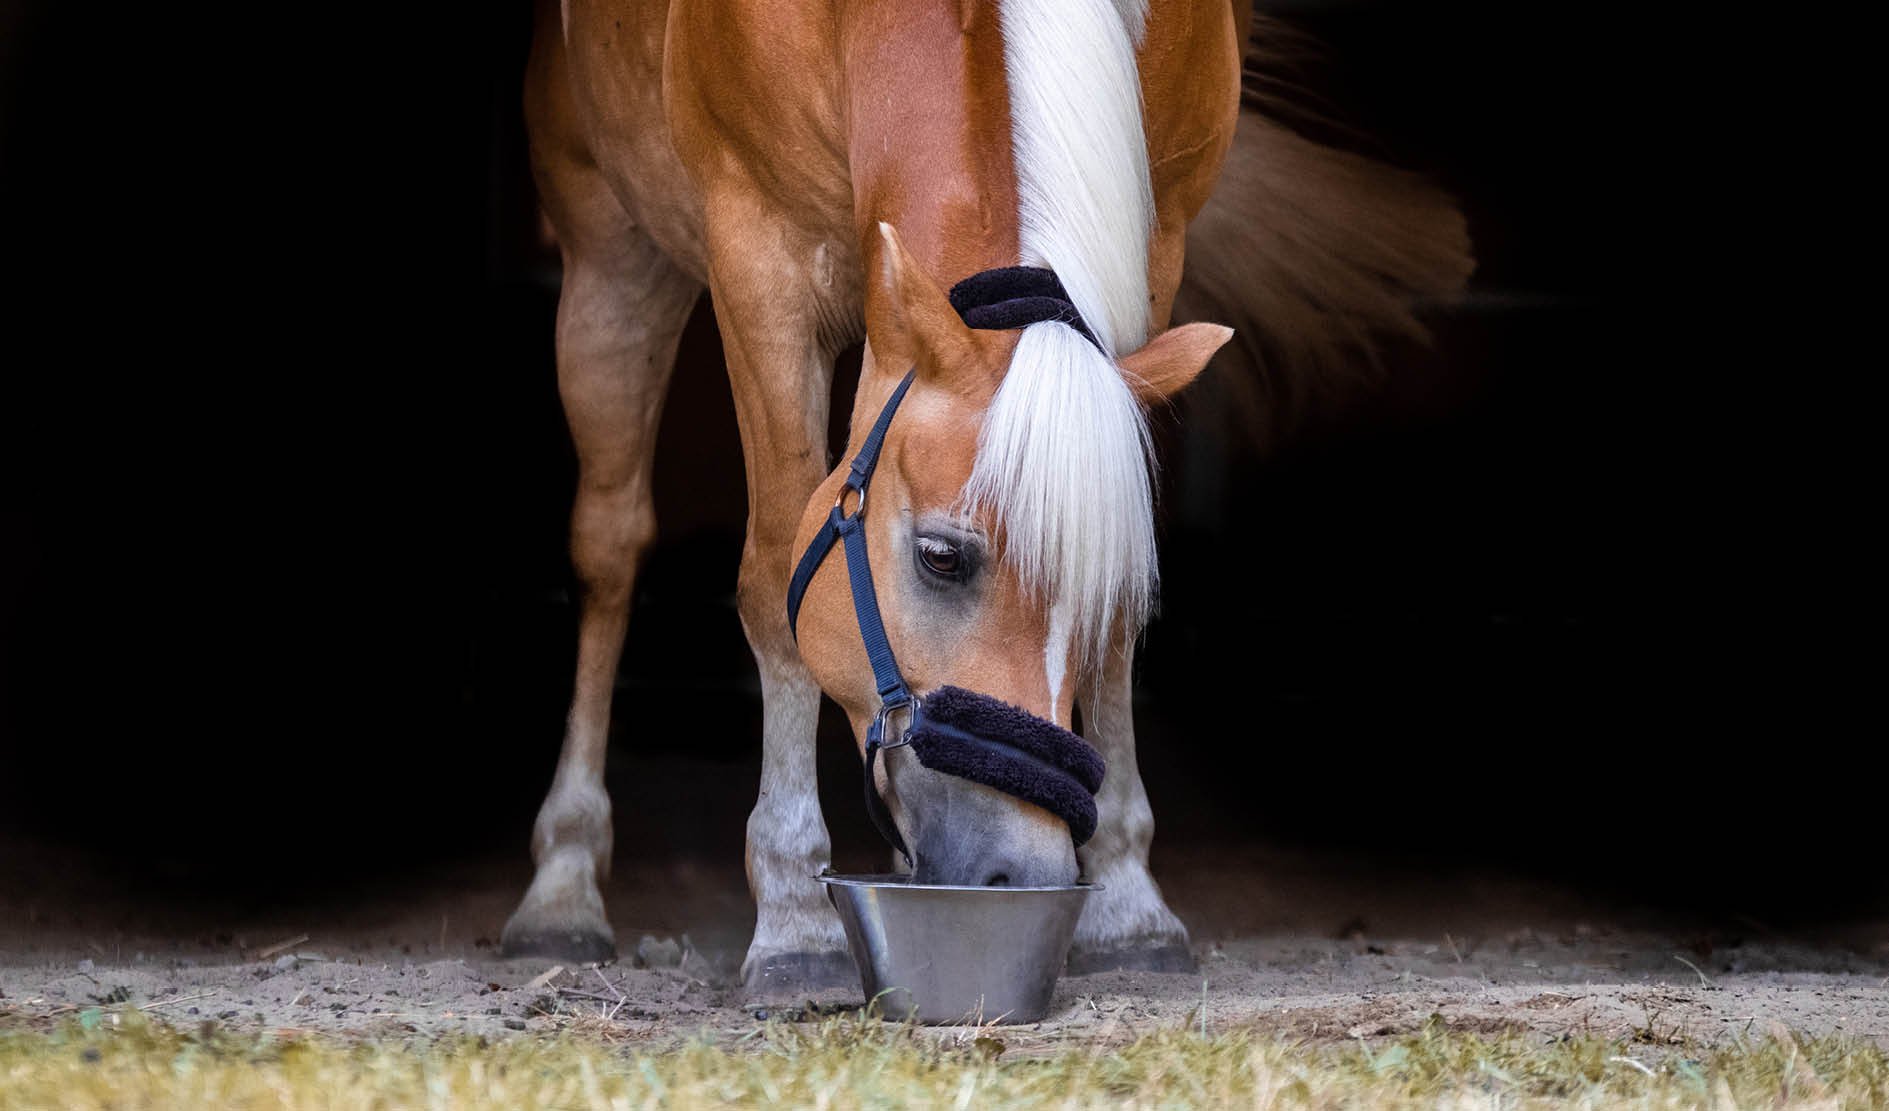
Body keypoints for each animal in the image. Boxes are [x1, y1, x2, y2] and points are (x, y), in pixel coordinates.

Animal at [499, 0, 1473, 1000]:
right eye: (941, 556)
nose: (1024, 872)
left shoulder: (1152, 250)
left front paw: (1128, 902)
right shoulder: (759, 258)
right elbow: (772, 581)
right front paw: (793, 920)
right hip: (612, 261)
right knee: (609, 544)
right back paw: (561, 885)